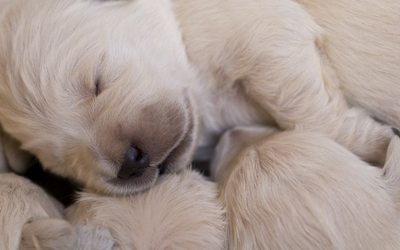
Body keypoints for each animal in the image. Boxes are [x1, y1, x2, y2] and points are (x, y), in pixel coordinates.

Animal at [1, 0, 398, 195]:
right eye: (58, 160)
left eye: (97, 80)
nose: (130, 164)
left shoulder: (266, 31)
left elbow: (304, 109)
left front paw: (381, 143)